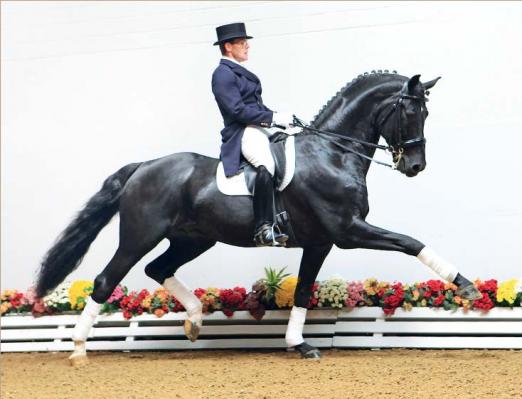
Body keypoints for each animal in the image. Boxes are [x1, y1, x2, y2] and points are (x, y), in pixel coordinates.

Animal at [34, 72, 478, 362]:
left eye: (424, 113)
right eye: (410, 112)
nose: (415, 166)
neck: (333, 154)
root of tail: (143, 167)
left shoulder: (321, 241)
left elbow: (303, 292)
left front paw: (299, 344)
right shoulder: (348, 231)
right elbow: (410, 242)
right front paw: (466, 286)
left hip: (194, 238)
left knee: (157, 268)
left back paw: (194, 320)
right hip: (140, 235)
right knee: (108, 279)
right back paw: (78, 350)